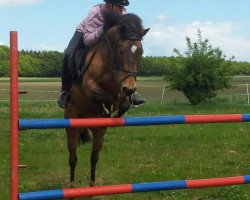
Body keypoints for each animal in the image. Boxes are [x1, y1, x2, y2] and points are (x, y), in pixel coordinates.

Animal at [65, 12, 149, 188]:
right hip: (72, 126)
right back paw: (72, 185)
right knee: (73, 158)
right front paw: (107, 107)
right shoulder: (88, 85)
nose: (130, 89)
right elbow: (106, 96)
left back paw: (92, 184)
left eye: (140, 52)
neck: (110, 64)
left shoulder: (120, 86)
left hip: (99, 132)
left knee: (94, 157)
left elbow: (123, 102)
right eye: (120, 51)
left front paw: (117, 112)